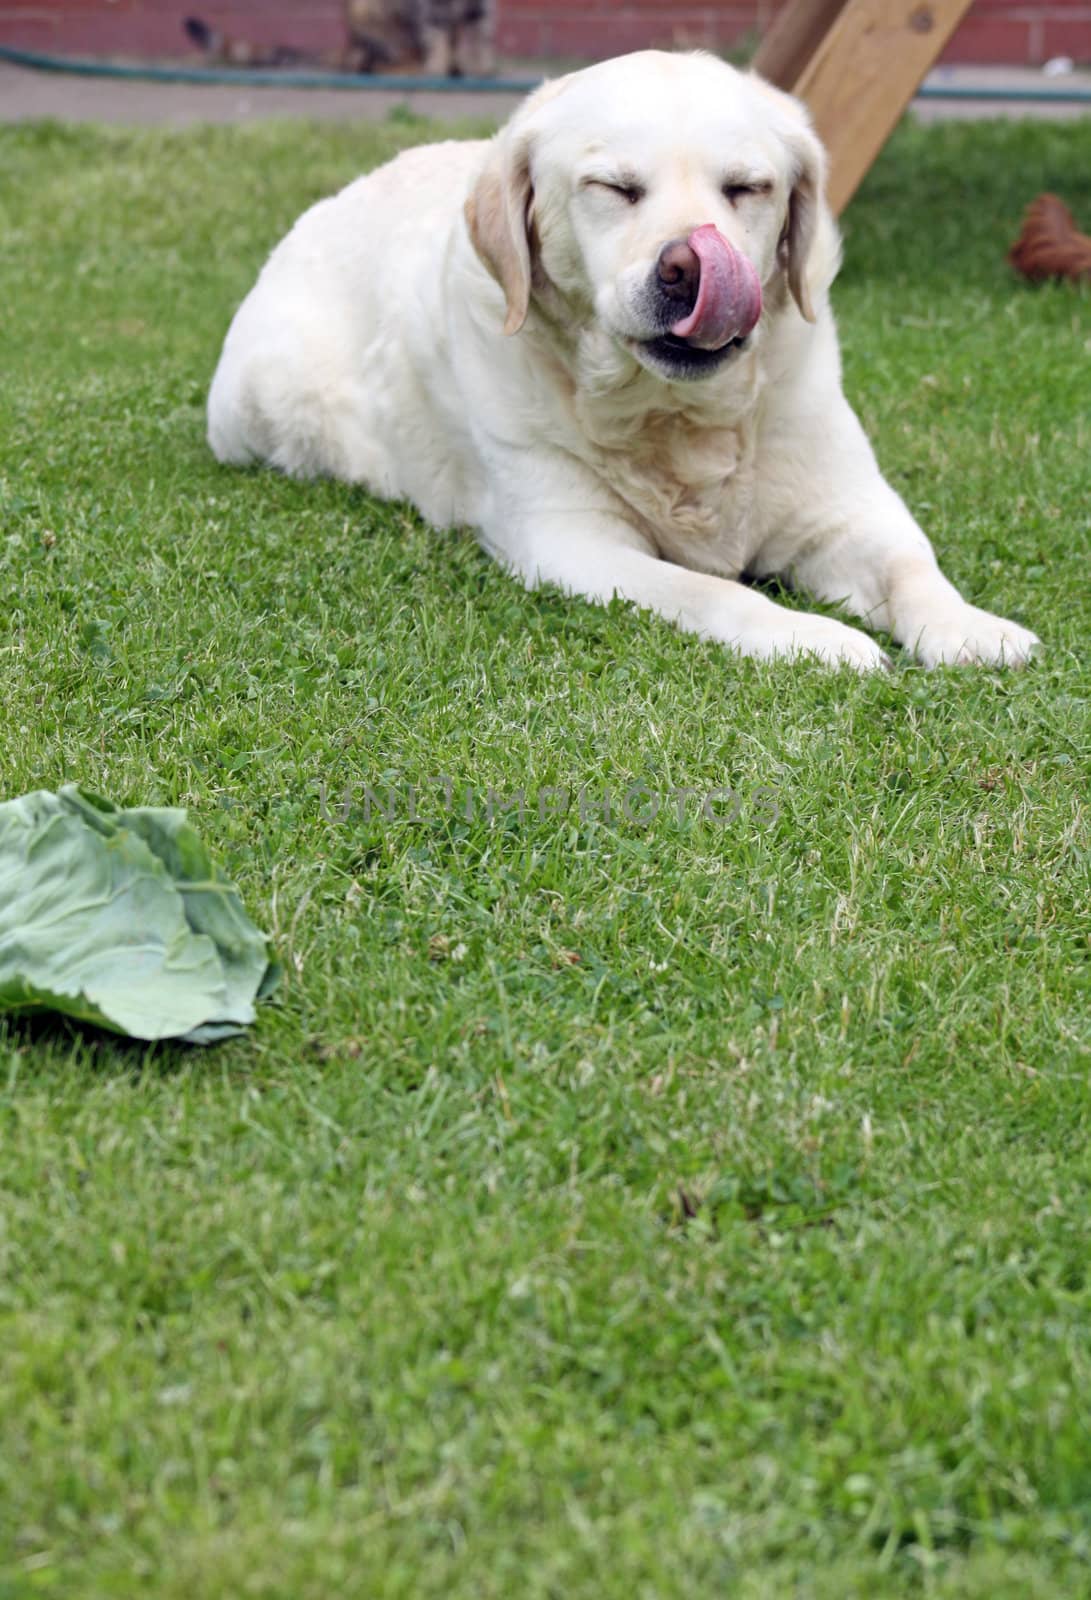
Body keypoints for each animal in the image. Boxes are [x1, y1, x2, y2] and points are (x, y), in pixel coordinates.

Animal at [206, 46, 1036, 665]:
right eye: (612, 187)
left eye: (747, 188)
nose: (689, 267)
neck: (678, 424)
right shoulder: (572, 544)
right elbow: (711, 589)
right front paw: (813, 637)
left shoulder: (846, 507)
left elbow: (910, 566)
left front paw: (969, 626)